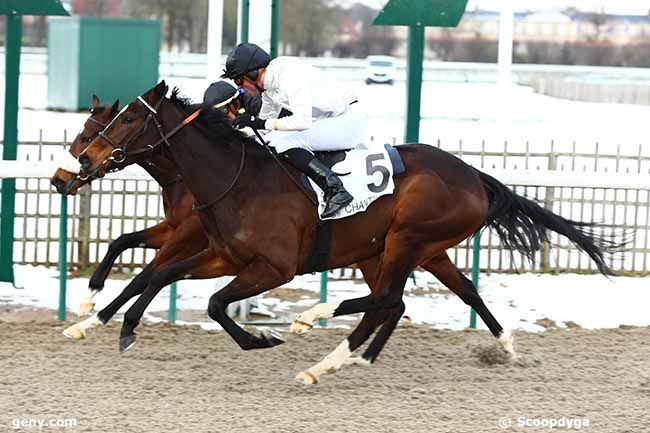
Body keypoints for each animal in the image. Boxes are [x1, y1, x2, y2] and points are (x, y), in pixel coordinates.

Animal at [77, 81, 612, 382]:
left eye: (127, 118)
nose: (81, 162)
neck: (235, 178)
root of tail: (473, 176)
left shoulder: (274, 267)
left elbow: (208, 301)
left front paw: (263, 339)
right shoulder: (222, 256)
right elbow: (161, 276)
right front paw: (118, 326)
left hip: (407, 239)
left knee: (389, 299)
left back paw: (317, 329)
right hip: (412, 249)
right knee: (427, 296)